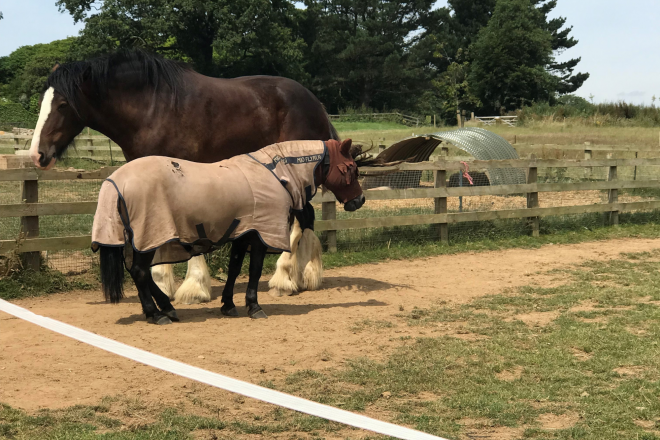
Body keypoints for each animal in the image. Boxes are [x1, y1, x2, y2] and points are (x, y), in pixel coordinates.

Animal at [28, 49, 338, 302]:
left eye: (63, 104)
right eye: (43, 101)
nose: (37, 155)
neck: (153, 109)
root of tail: (316, 103)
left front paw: (192, 288)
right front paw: (165, 286)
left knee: (301, 218)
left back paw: (285, 279)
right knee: (304, 217)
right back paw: (302, 276)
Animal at [92, 139, 364, 324]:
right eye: (351, 167)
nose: (359, 200)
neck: (273, 173)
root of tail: (115, 181)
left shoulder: (243, 233)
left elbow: (234, 268)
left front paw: (228, 304)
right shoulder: (260, 234)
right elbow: (254, 270)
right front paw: (254, 306)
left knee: (137, 271)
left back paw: (164, 308)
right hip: (150, 235)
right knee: (139, 271)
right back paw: (156, 313)